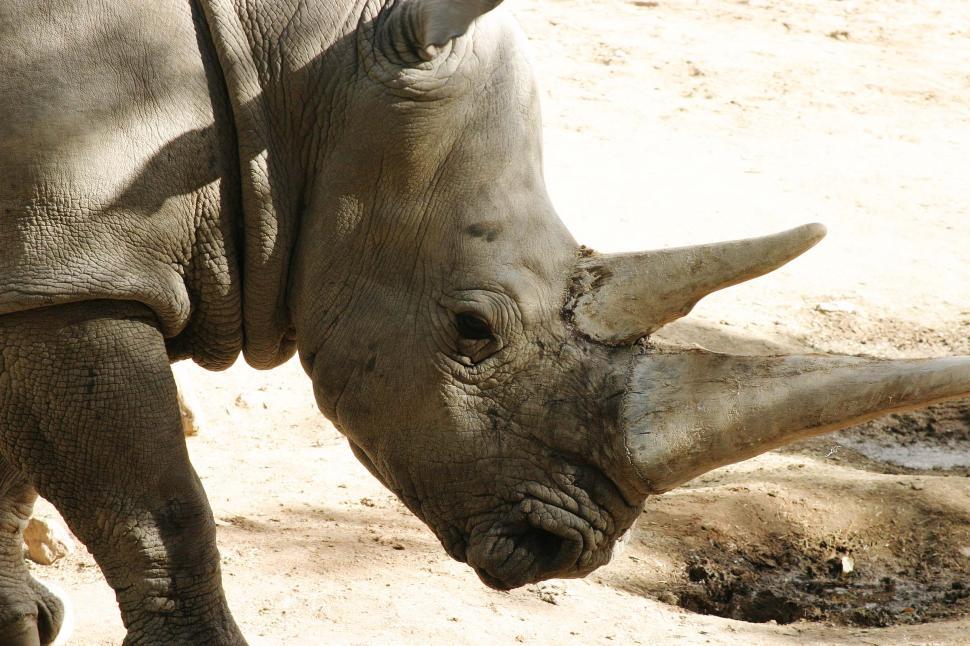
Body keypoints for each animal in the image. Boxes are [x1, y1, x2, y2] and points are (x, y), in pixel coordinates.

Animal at [0, 0, 967, 643]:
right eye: (472, 330)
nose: (562, 552)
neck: (283, 77)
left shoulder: (39, 268)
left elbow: (18, 474)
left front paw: (23, 622)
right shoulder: (73, 272)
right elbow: (160, 516)